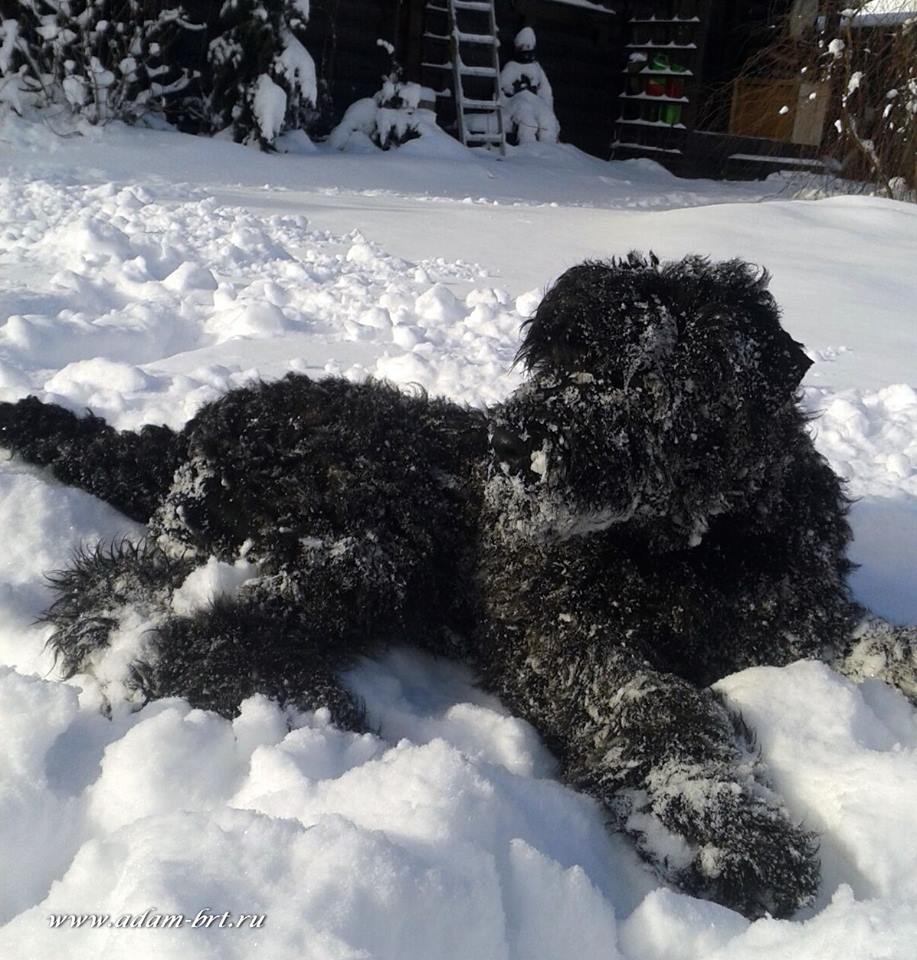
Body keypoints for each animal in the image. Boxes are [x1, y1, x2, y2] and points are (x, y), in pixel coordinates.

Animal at [1, 254, 912, 920]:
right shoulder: (564, 636)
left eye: (639, 373)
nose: (511, 447)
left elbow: (884, 645)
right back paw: (308, 699)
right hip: (364, 542)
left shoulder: (805, 620)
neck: (700, 543)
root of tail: (192, 430)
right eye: (553, 361)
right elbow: (659, 709)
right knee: (137, 609)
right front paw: (728, 830)